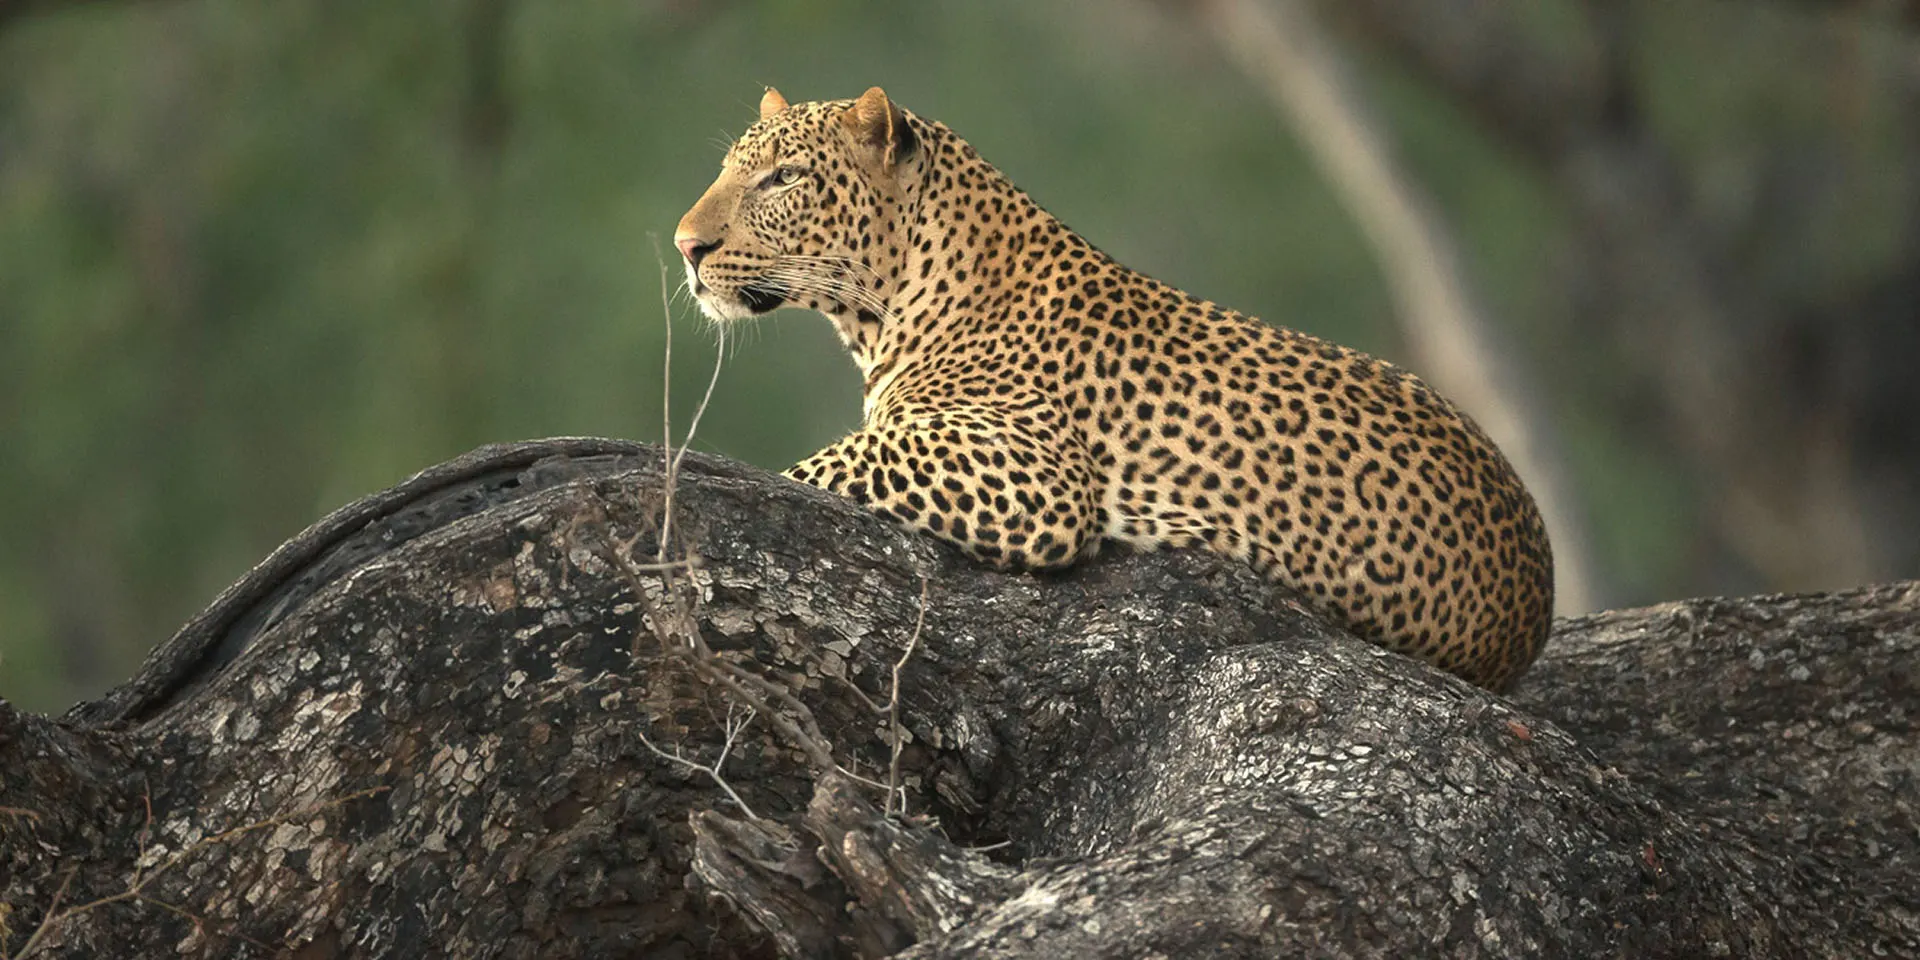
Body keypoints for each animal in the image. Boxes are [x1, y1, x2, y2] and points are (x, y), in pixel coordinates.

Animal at [673, 86, 1554, 691]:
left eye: (783, 178)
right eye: (724, 169)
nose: (686, 245)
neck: (889, 306)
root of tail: (1535, 612)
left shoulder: (1032, 474)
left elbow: (823, 464)